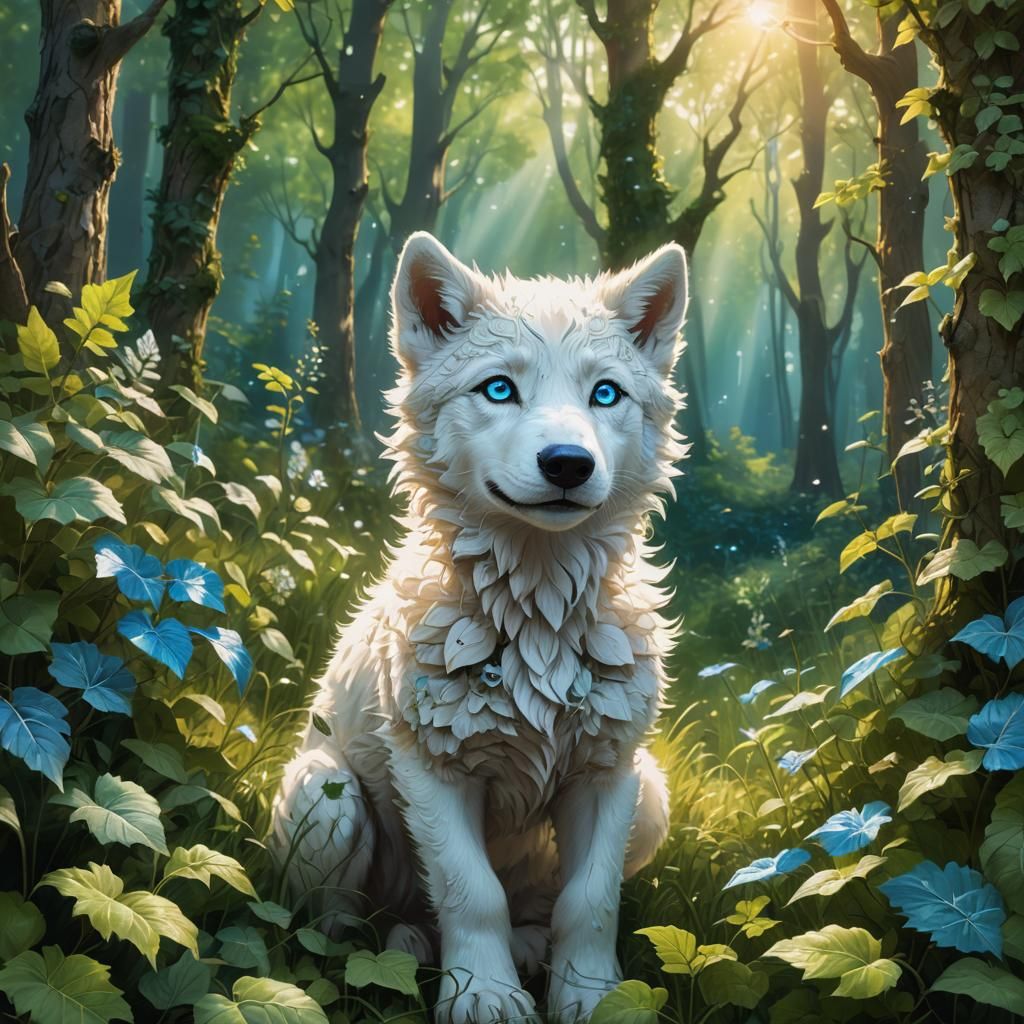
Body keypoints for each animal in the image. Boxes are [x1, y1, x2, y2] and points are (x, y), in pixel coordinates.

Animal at [271, 232, 689, 1024]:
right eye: (499, 389)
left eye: (605, 394)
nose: (568, 464)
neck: (538, 617)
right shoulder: (433, 771)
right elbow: (472, 894)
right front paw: (485, 997)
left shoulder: (607, 774)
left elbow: (591, 904)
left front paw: (592, 998)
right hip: (324, 791)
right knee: (335, 929)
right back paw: (392, 951)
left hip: (652, 793)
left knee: (538, 908)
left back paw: (525, 949)